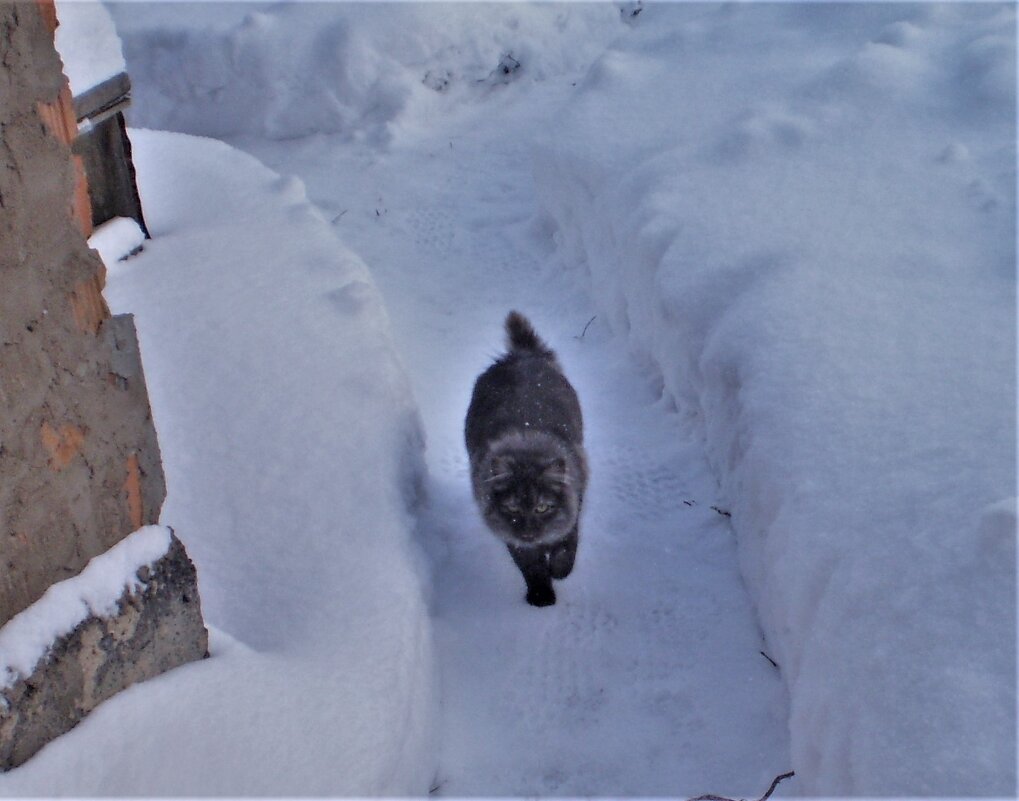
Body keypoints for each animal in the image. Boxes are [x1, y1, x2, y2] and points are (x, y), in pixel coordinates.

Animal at [464, 311, 586, 607]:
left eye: (542, 507)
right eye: (512, 508)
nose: (529, 532)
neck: (527, 453)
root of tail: (520, 356)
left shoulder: (574, 503)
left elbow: (567, 545)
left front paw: (559, 570)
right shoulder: (510, 533)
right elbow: (530, 564)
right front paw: (541, 595)